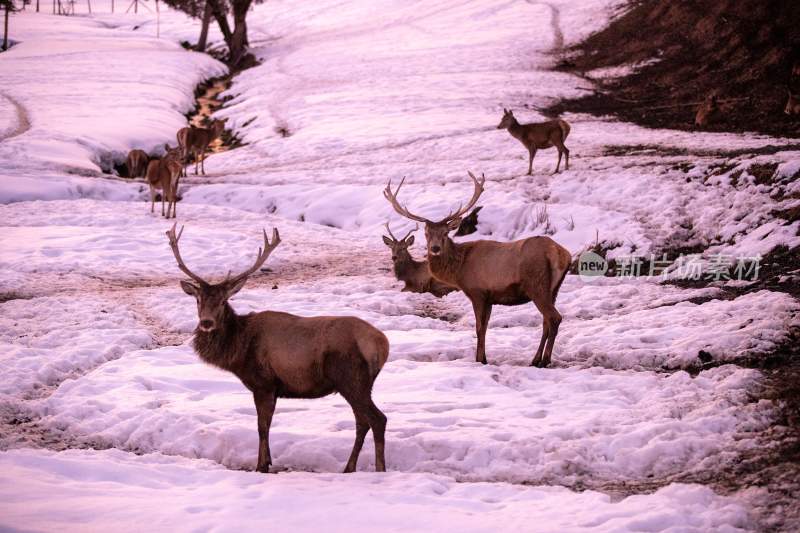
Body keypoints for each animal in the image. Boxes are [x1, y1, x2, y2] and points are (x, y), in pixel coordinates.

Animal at [166, 222, 388, 472]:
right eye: (198, 300)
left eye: (223, 301)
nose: (206, 323)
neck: (239, 350)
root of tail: (382, 344)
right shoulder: (271, 388)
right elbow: (267, 425)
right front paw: (268, 460)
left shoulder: (263, 383)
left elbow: (262, 426)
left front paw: (261, 465)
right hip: (360, 384)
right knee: (362, 421)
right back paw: (349, 468)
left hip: (351, 378)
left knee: (377, 419)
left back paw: (379, 469)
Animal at [384, 172, 572, 368]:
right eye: (427, 233)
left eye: (445, 233)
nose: (435, 248)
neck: (459, 270)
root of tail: (561, 254)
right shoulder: (489, 298)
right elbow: (485, 326)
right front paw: (484, 357)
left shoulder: (477, 291)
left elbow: (479, 328)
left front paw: (480, 359)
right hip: (553, 289)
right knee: (546, 321)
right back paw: (535, 359)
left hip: (536, 284)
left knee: (554, 318)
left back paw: (545, 360)